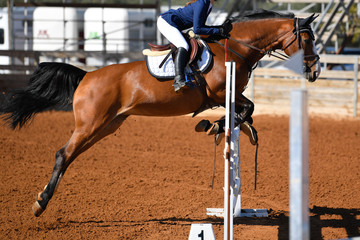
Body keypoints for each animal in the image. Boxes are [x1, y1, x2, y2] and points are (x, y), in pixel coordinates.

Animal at [0, 9, 320, 217]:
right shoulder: (220, 94)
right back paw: (40, 203)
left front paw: (228, 128)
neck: (236, 47)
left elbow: (247, 112)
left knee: (70, 155)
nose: (315, 71)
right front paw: (213, 126)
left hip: (106, 125)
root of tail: (87, 75)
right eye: (307, 39)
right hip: (91, 124)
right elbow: (246, 109)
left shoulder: (229, 97)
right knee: (63, 154)